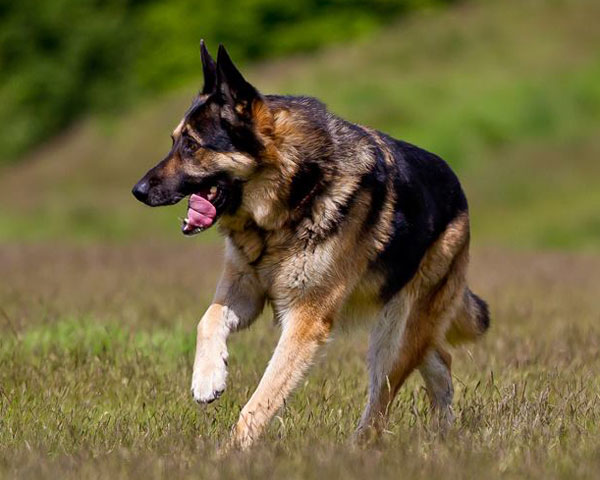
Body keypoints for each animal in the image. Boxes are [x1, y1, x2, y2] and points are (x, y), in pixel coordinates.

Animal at [131, 42, 488, 450]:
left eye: (191, 145)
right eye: (174, 141)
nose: (138, 191)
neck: (290, 195)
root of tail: (459, 191)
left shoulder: (304, 321)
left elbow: (264, 394)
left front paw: (232, 450)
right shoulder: (244, 290)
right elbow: (207, 320)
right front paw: (208, 379)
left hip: (394, 336)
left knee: (383, 398)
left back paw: (359, 446)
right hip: (404, 330)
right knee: (439, 359)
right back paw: (444, 434)